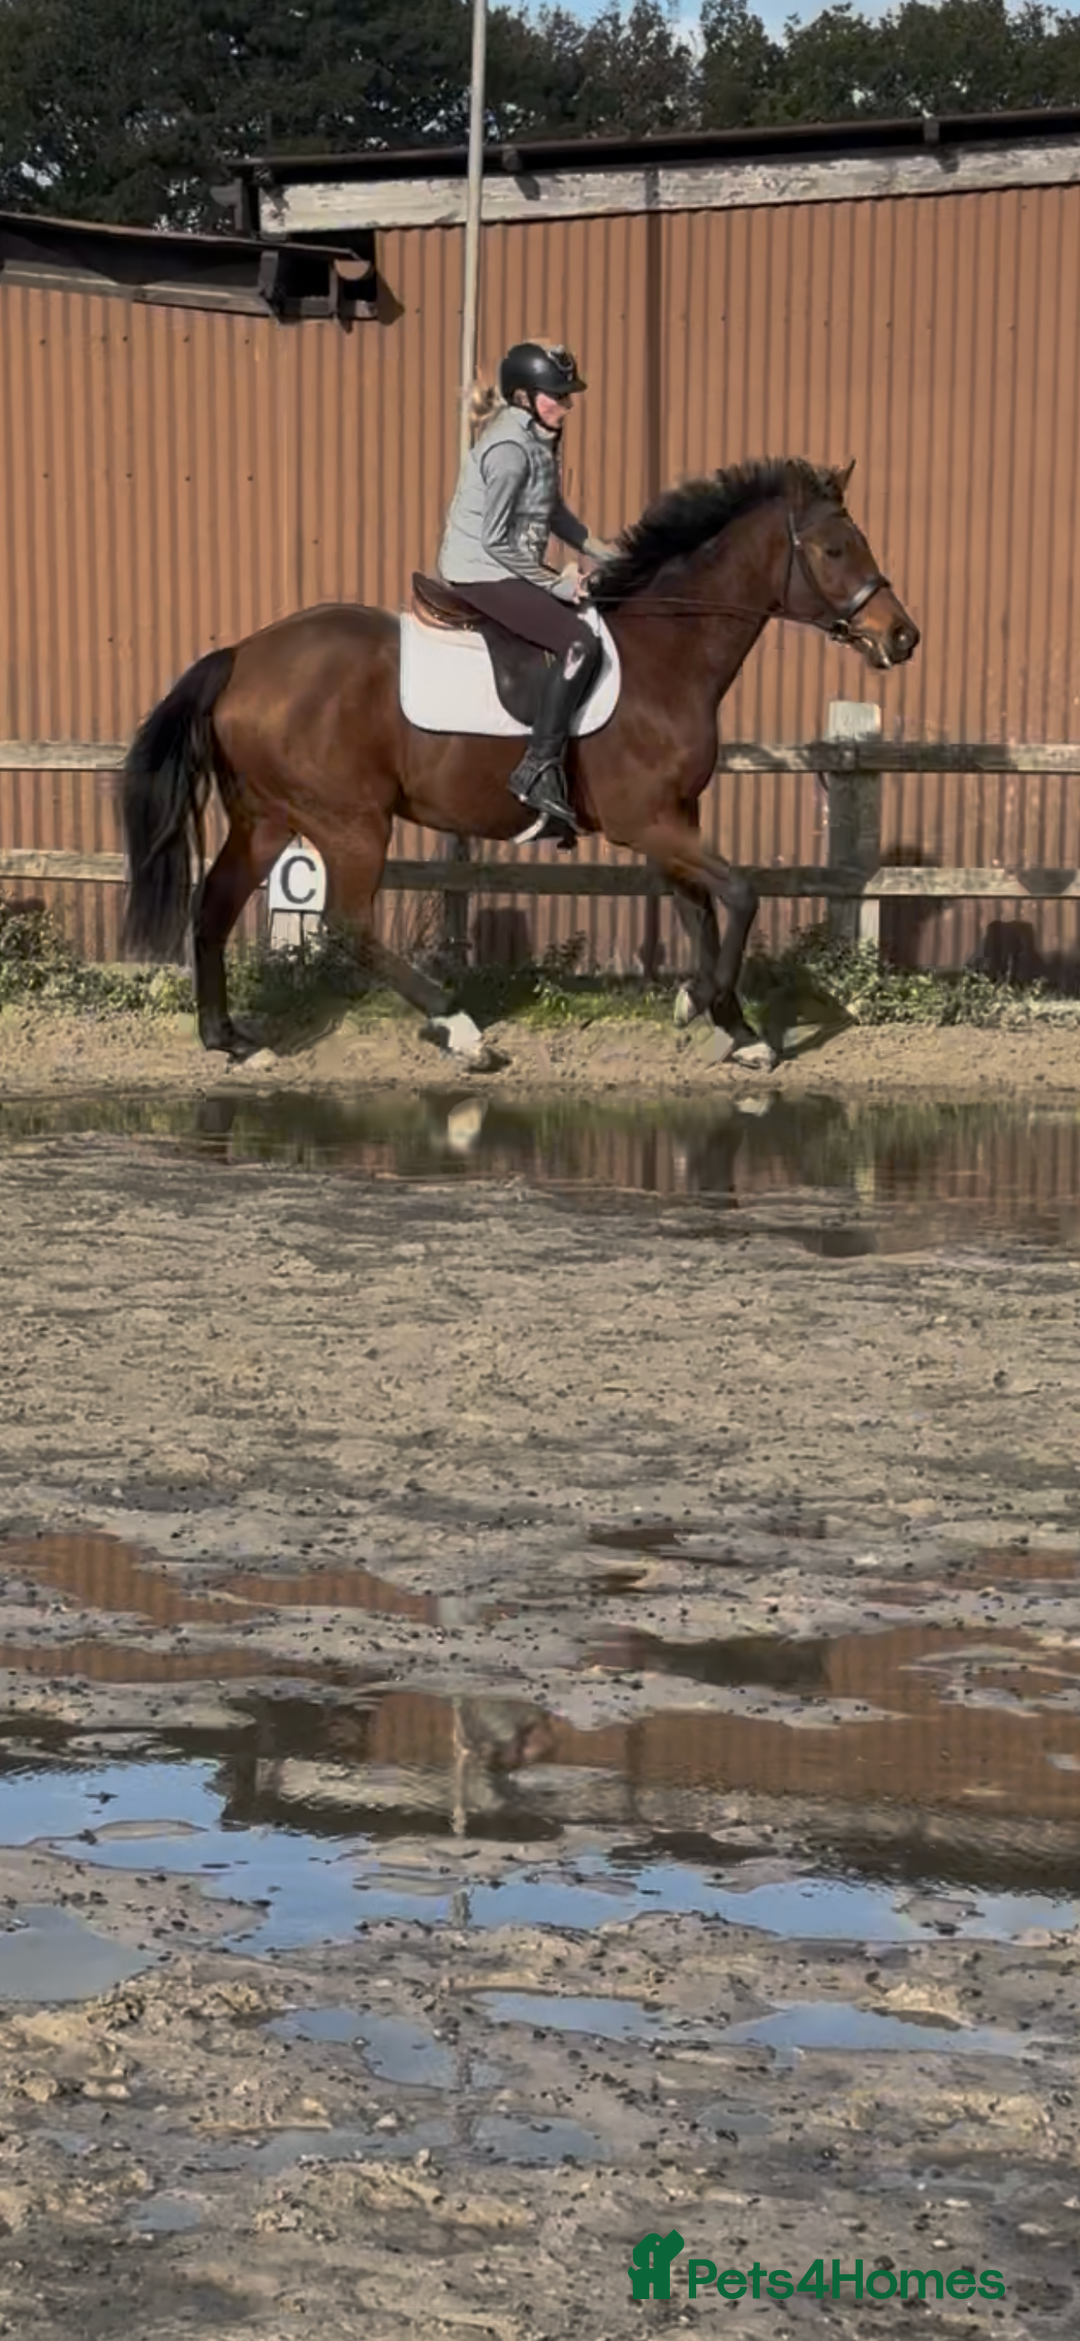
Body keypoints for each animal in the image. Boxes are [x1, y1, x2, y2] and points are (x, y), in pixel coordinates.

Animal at [120, 455, 918, 1072]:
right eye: (836, 548)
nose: (903, 637)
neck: (667, 656)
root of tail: (241, 656)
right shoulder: (648, 822)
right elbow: (743, 895)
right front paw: (713, 1006)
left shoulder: (671, 819)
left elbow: (700, 910)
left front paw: (730, 1023)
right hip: (349, 821)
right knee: (347, 927)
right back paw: (460, 1030)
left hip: (266, 816)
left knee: (214, 906)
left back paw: (230, 1040)